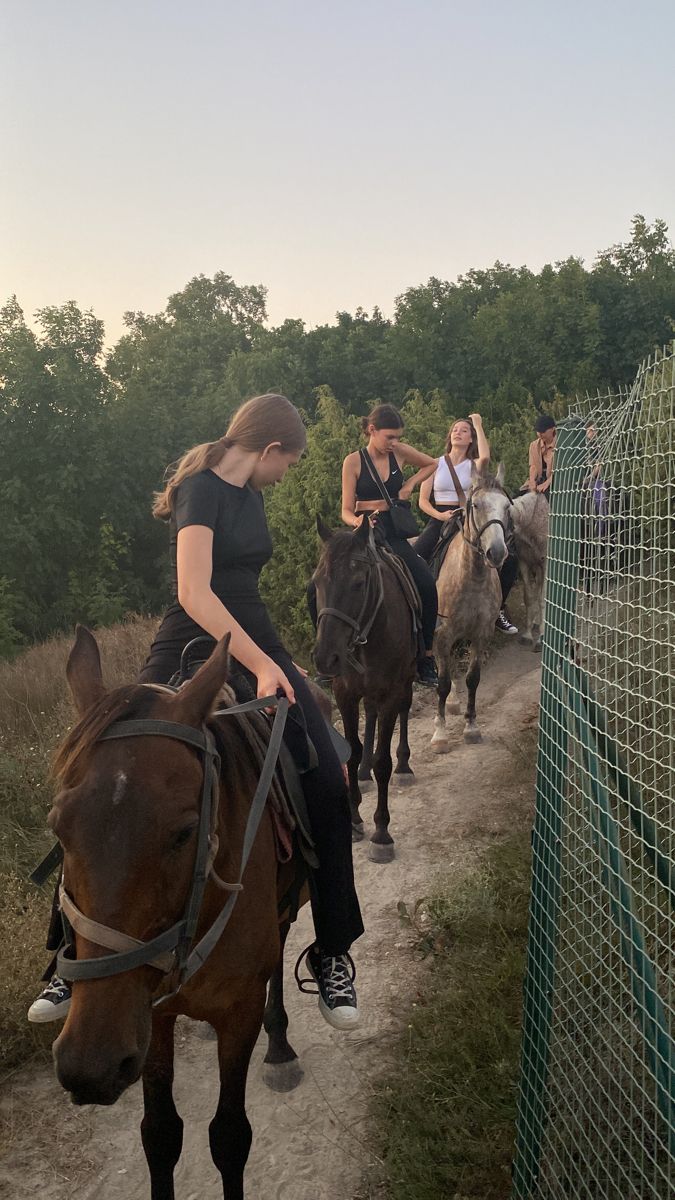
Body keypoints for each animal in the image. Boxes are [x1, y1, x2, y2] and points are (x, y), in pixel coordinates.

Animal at [49, 628, 305, 1200]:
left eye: (186, 832)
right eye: (58, 827)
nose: (90, 1064)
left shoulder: (239, 1014)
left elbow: (229, 1138)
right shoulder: (150, 1016)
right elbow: (161, 1135)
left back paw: (279, 1044)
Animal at [309, 516, 415, 864]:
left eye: (357, 583)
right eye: (317, 583)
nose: (325, 658)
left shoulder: (391, 692)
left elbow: (384, 761)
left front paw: (381, 832)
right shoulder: (345, 694)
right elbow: (352, 752)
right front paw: (354, 817)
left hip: (407, 678)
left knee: (405, 709)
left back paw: (404, 765)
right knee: (370, 715)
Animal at [429, 460, 509, 748]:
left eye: (506, 507)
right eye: (475, 505)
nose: (497, 552)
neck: (471, 577)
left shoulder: (480, 634)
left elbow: (473, 679)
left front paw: (471, 726)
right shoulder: (442, 634)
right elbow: (441, 682)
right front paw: (440, 733)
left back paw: (453, 702)